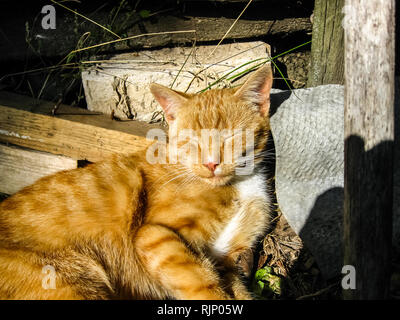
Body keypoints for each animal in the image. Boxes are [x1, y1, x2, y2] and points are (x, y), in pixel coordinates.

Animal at [0, 63, 274, 298]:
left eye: (230, 137)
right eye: (191, 141)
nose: (211, 164)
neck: (239, 183)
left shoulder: (224, 261)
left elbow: (238, 291)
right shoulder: (153, 235)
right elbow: (205, 287)